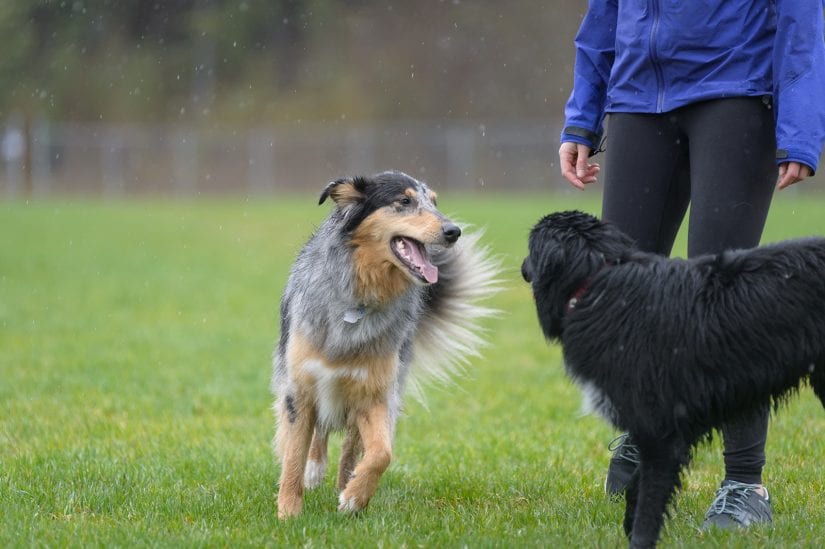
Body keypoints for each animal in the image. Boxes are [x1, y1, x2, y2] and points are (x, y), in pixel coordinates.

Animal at [520, 210, 824, 548]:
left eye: (530, 245)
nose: (522, 265)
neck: (598, 280)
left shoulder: (661, 433)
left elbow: (649, 504)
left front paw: (638, 538)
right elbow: (636, 488)